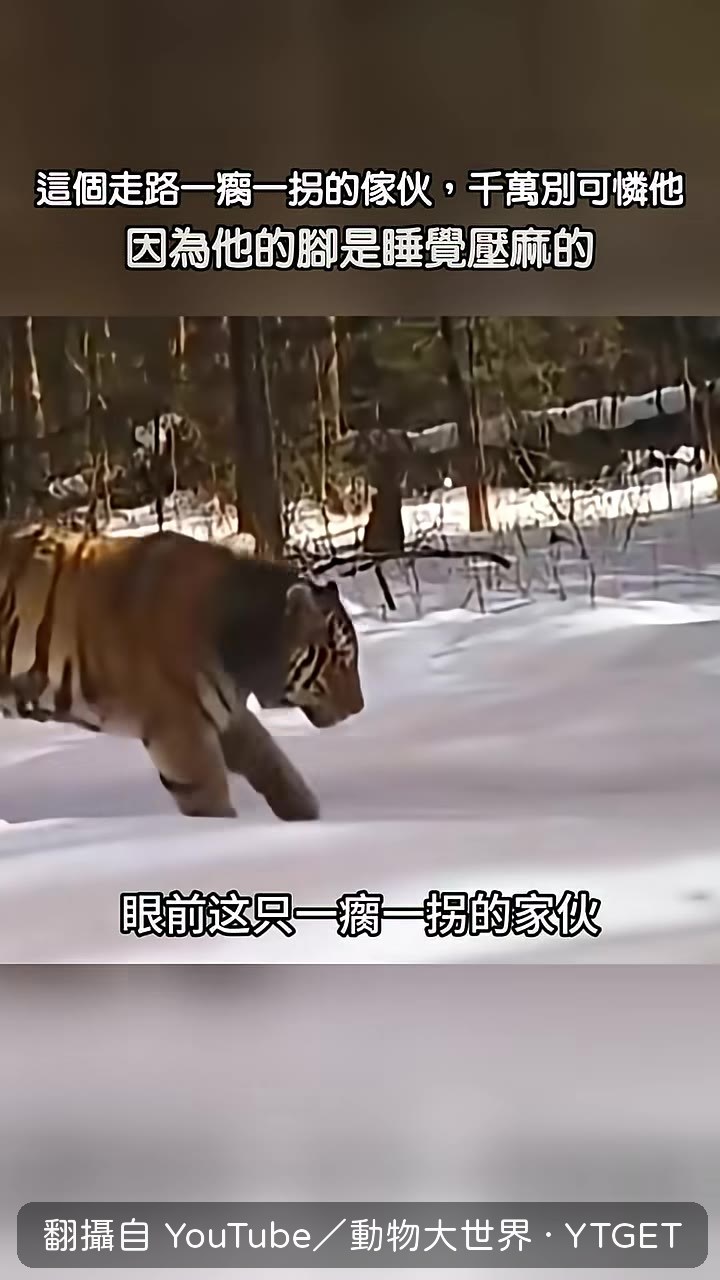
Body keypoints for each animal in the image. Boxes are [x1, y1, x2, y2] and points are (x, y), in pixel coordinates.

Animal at [0, 522, 364, 822]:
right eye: (341, 657)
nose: (359, 707)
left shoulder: (226, 714)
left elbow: (273, 763)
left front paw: (308, 816)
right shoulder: (181, 731)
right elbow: (211, 797)